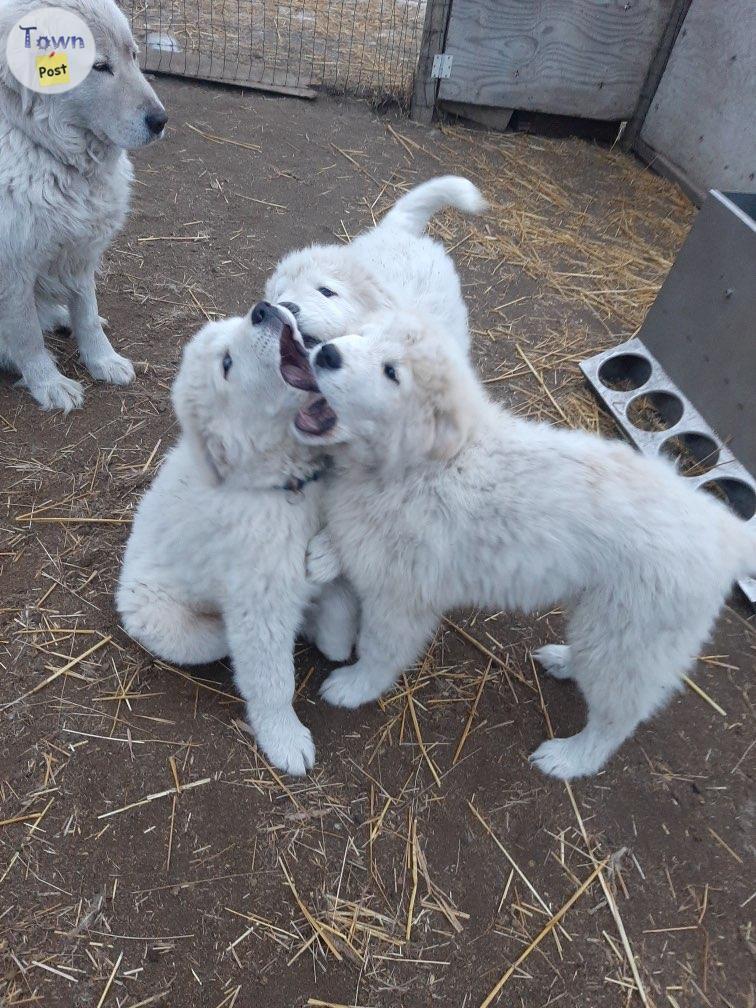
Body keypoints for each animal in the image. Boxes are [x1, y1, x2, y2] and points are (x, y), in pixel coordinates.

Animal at [0, 0, 166, 413]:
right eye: (99, 66)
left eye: (133, 55)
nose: (161, 120)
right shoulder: (12, 267)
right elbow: (26, 333)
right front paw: (48, 382)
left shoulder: (81, 251)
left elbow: (87, 314)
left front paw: (104, 360)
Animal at [116, 302, 336, 774]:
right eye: (228, 365)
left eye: (238, 324)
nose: (264, 309)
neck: (279, 484)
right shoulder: (260, 604)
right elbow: (272, 681)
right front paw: (285, 739)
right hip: (163, 619)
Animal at [286, 314, 756, 778]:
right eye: (362, 334)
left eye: (391, 372)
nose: (326, 354)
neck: (424, 465)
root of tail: (724, 529)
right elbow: (347, 528)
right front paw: (325, 552)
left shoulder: (402, 599)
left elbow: (379, 652)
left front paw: (353, 687)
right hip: (604, 621)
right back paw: (565, 661)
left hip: (630, 632)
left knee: (617, 717)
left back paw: (570, 758)